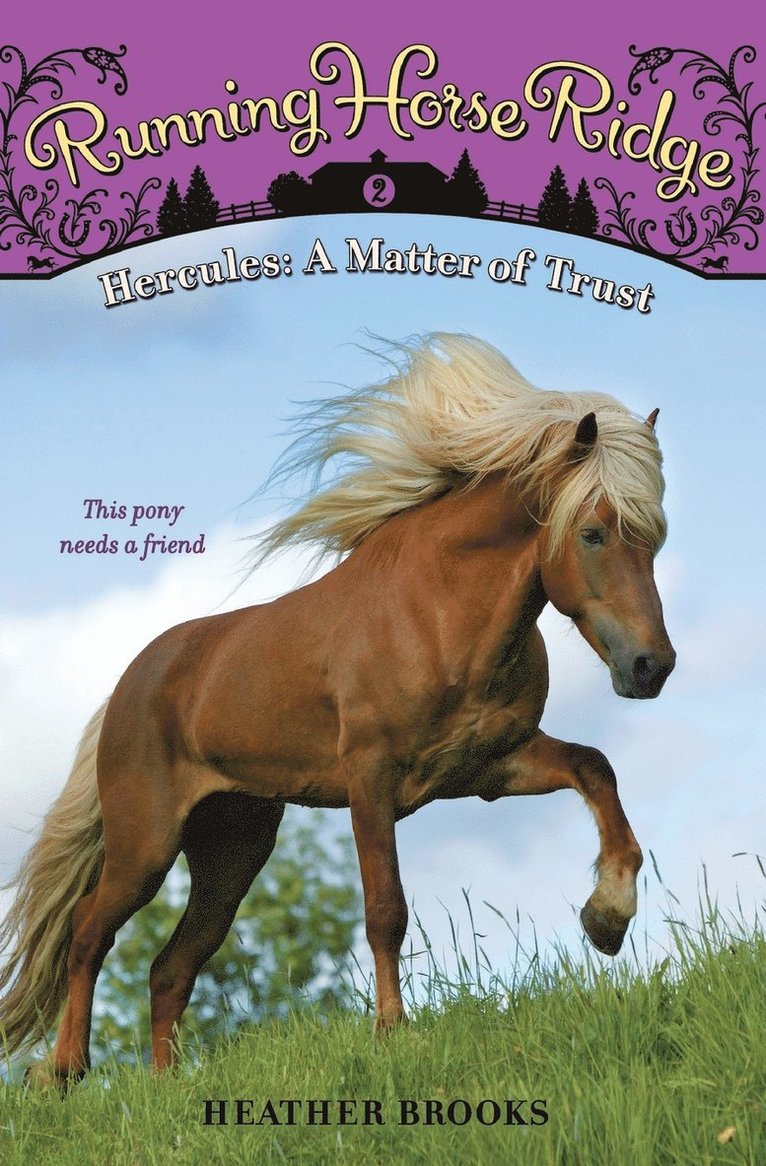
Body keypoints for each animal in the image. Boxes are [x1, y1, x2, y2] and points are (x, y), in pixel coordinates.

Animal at [0, 333, 675, 1085]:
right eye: (592, 533)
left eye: (655, 536)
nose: (651, 667)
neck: (435, 613)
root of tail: (125, 690)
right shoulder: (371, 779)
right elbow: (385, 909)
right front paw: (391, 1031)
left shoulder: (490, 767)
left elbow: (596, 769)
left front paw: (607, 917)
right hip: (145, 844)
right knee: (88, 933)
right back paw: (65, 1071)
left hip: (231, 850)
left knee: (169, 967)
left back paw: (164, 1085)